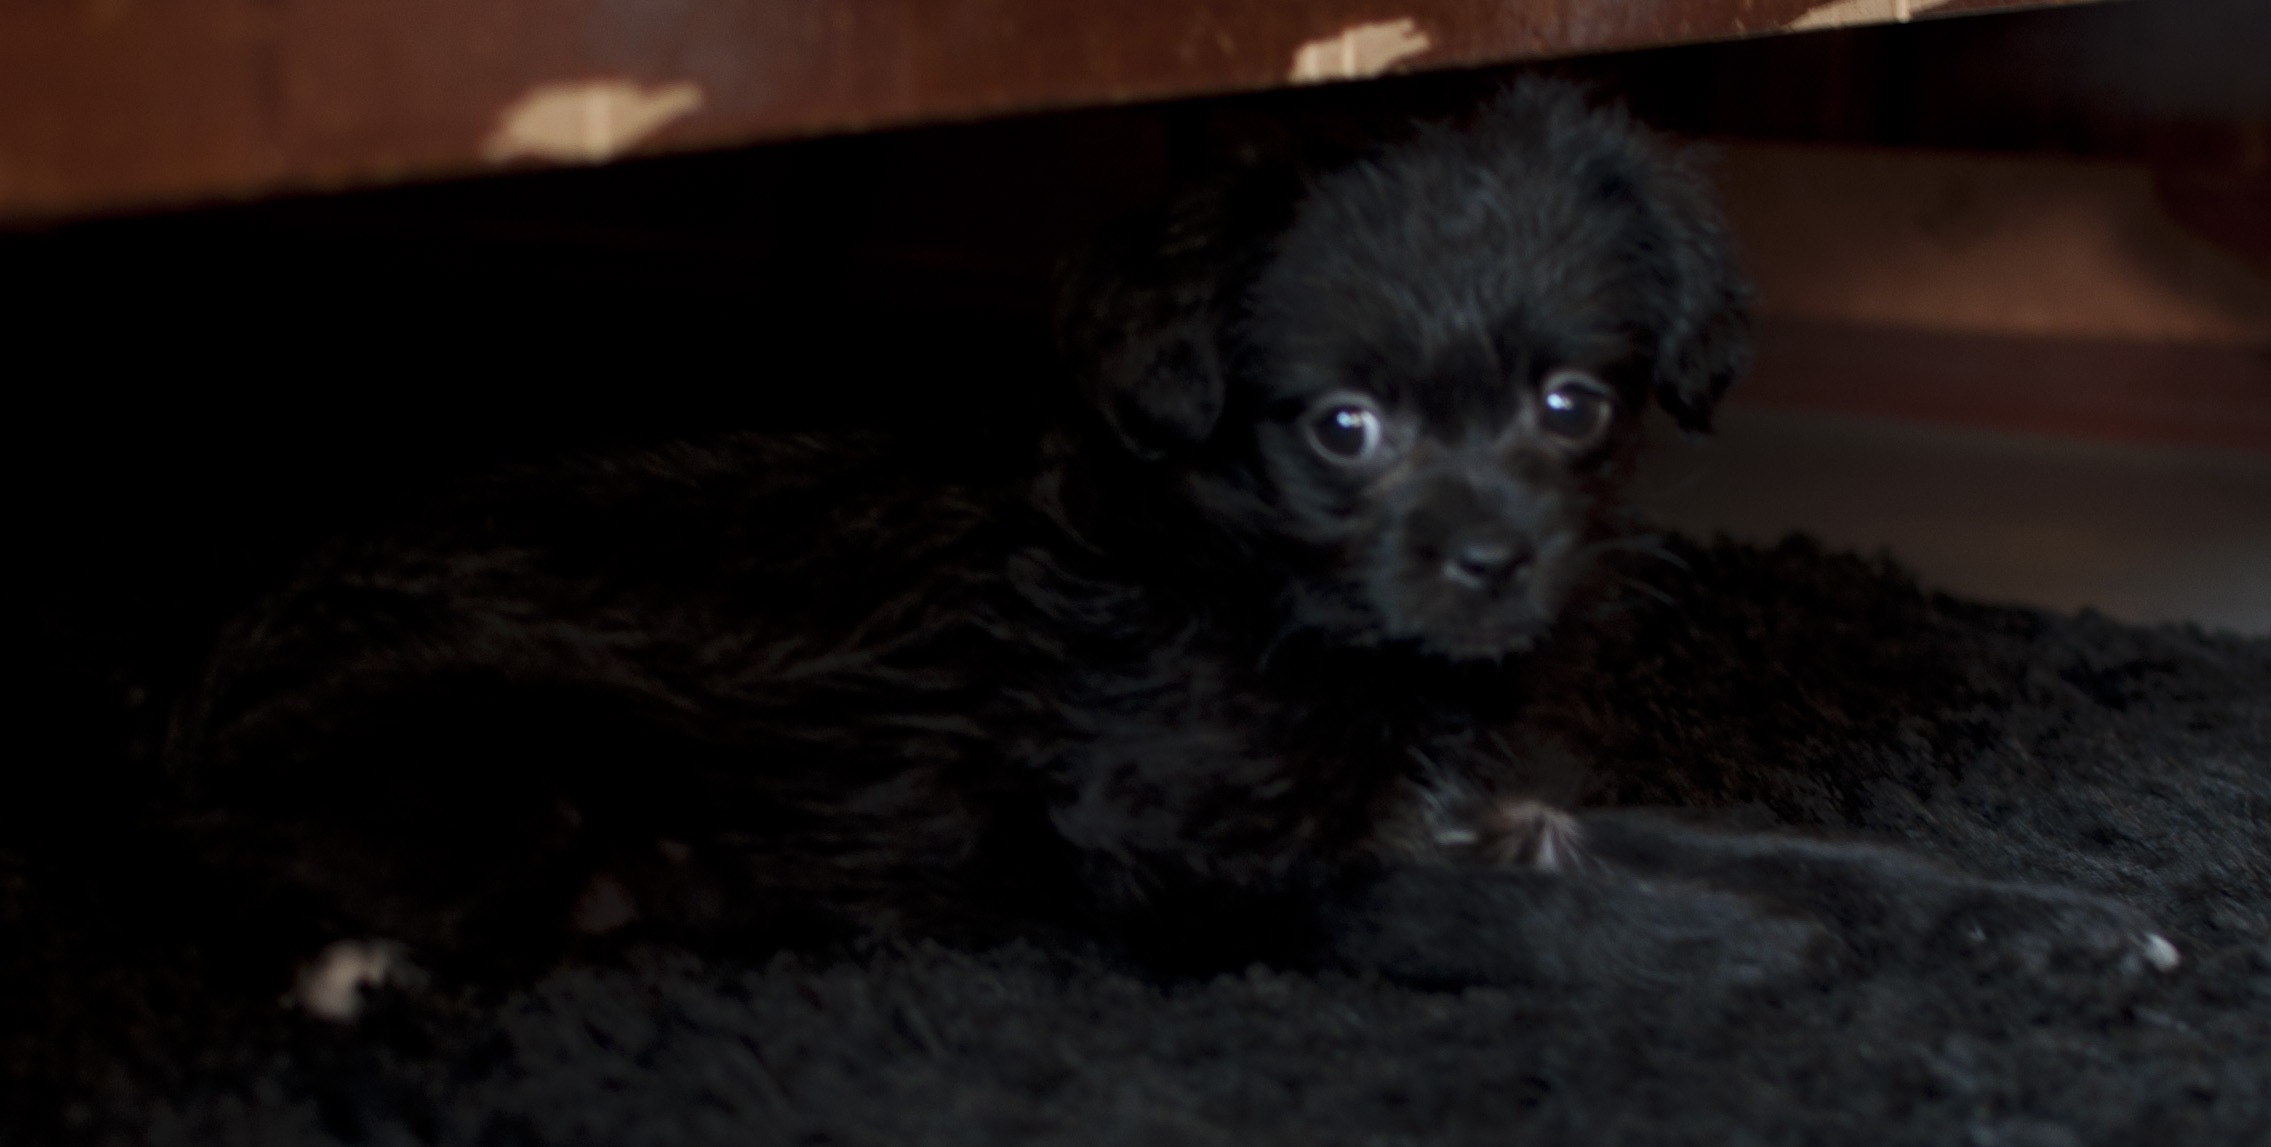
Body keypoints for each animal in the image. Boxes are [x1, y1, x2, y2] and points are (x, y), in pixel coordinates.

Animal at [170, 81, 2177, 1021]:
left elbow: (1816, 854)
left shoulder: (1497, 800)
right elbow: (1503, 915)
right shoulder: (1205, 866)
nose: (1492, 566)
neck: (1278, 608)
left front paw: (2047, 923)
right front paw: (1738, 957)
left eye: (1571, 404)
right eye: (1340, 428)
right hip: (503, 771)